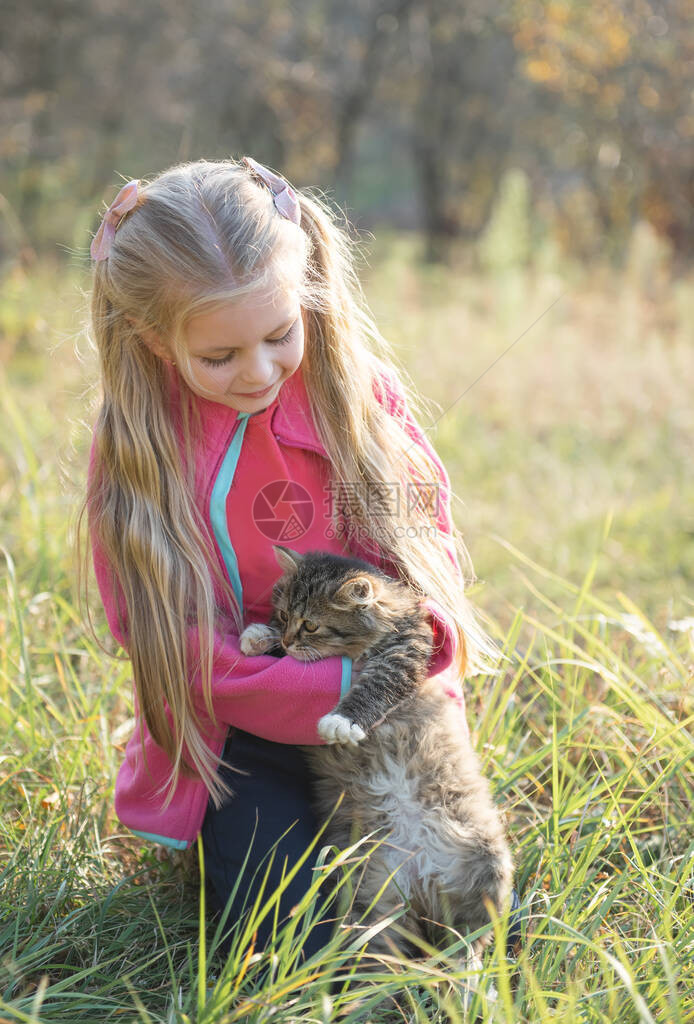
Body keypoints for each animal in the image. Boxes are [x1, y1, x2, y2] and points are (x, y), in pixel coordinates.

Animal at [241, 544, 513, 966]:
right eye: (284, 615)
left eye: (311, 626)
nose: (287, 641)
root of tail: (420, 869)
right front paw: (257, 636)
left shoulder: (403, 653)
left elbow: (375, 689)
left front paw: (342, 721)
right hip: (372, 900)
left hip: (488, 866)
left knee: (471, 943)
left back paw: (468, 977)